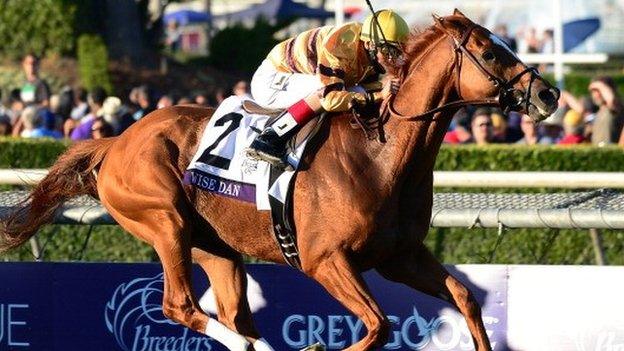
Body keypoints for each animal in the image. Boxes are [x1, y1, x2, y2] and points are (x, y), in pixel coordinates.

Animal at [0, 11, 556, 351]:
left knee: (235, 314)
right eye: (491, 51)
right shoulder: (324, 259)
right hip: (163, 221)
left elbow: (464, 297)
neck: (379, 156)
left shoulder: (398, 256)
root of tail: (115, 143)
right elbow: (378, 326)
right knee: (180, 305)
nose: (549, 94)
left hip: (217, 248)